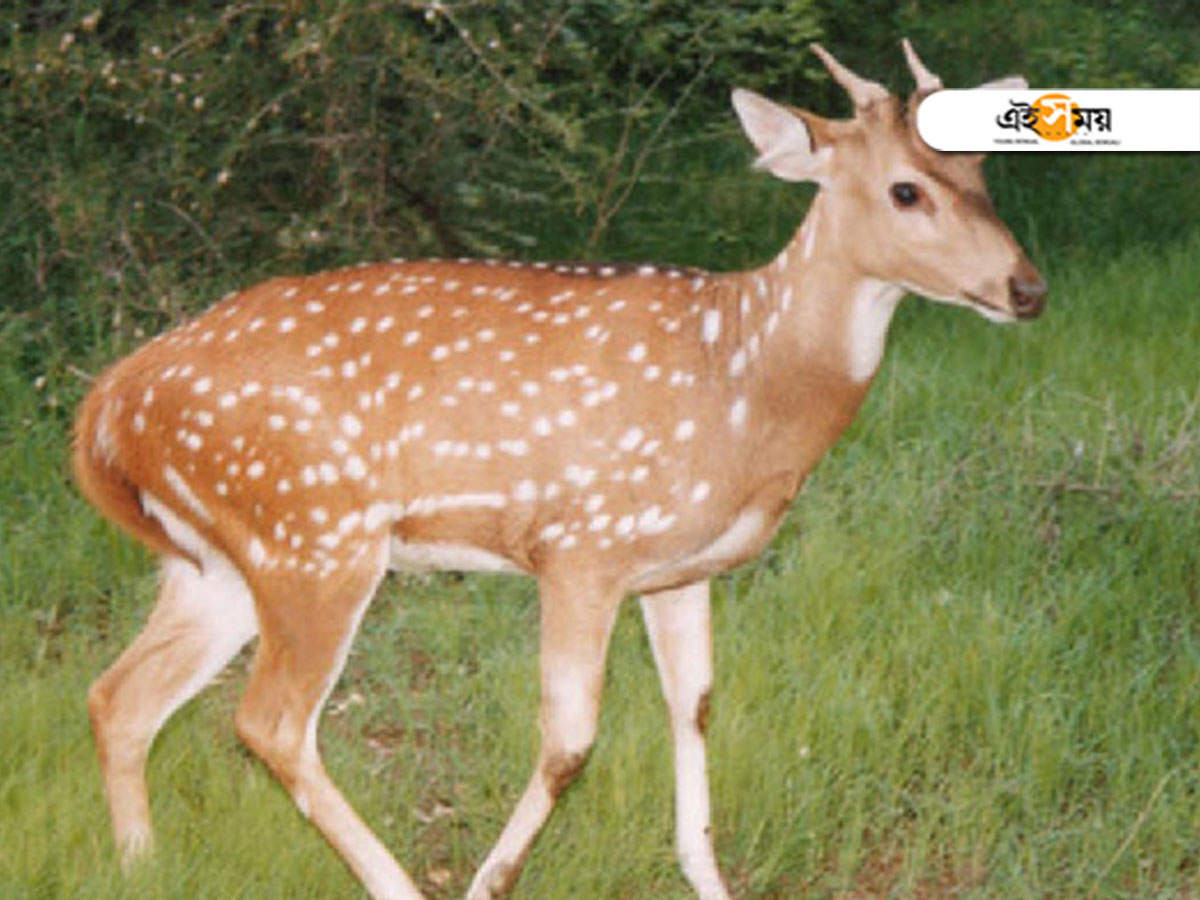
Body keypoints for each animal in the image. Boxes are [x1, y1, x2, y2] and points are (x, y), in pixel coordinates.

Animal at [75, 40, 1044, 900]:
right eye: (905, 189)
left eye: (984, 175)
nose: (1027, 289)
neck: (744, 385)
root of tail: (108, 404)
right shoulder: (583, 544)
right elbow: (570, 743)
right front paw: (489, 883)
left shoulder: (678, 567)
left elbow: (694, 705)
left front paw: (708, 878)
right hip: (312, 536)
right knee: (268, 722)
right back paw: (393, 885)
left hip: (221, 558)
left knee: (120, 696)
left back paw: (141, 868)